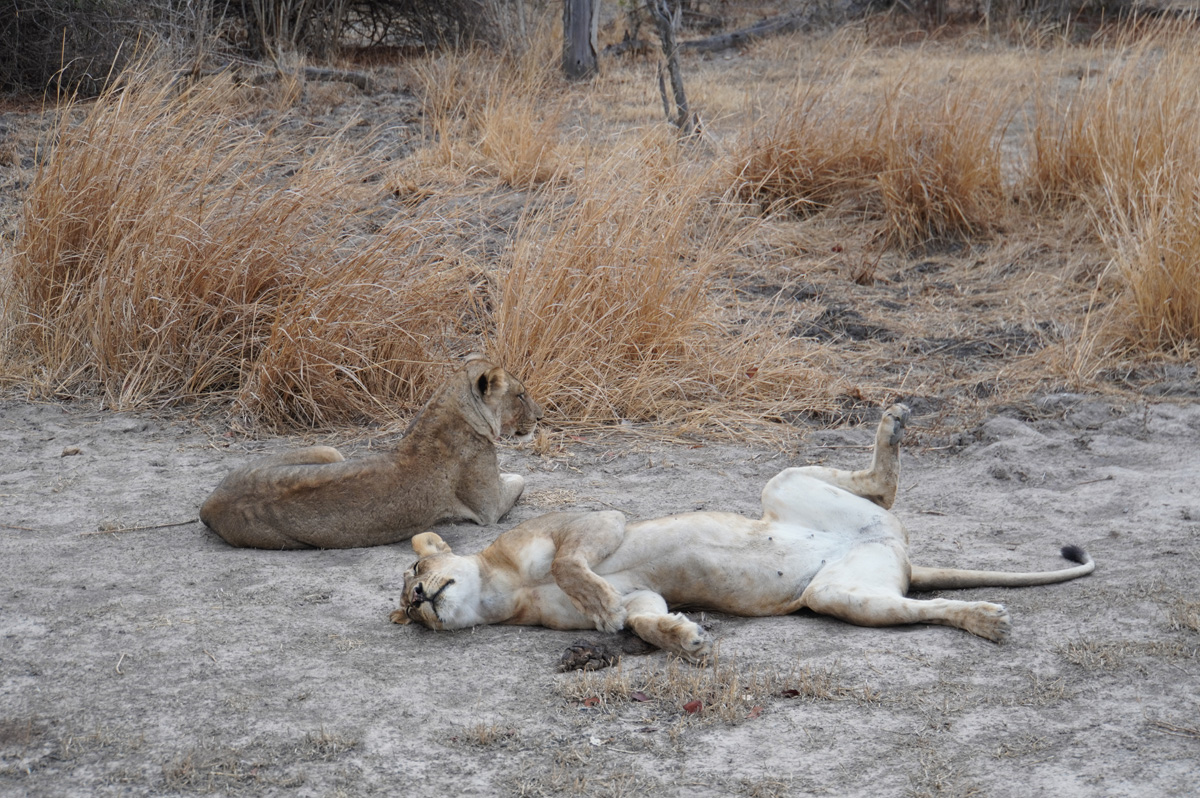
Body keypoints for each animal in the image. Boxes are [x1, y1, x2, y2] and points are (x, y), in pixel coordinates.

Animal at [200, 356, 542, 549]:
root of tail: (209, 505)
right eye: (520, 395)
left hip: (330, 451)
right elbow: (521, 480)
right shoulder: (489, 510)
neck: (449, 407)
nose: (539, 418)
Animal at [389, 405, 1094, 663]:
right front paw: (685, 637)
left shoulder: (596, 521)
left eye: (413, 574)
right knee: (917, 603)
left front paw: (603, 603)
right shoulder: (642, 594)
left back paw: (892, 424)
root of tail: (896, 552)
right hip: (841, 595)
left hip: (781, 485)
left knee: (882, 487)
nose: (420, 599)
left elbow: (572, 564)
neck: (503, 592)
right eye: (409, 611)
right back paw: (985, 619)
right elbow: (644, 617)